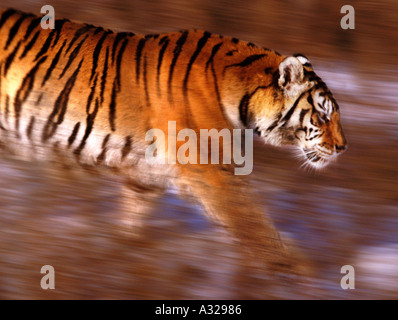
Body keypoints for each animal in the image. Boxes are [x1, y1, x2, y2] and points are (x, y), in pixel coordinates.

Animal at [0, 9, 346, 276]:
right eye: (323, 114)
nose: (343, 148)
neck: (245, 100)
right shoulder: (213, 172)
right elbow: (254, 225)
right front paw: (299, 274)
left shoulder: (146, 175)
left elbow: (130, 222)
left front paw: (118, 256)